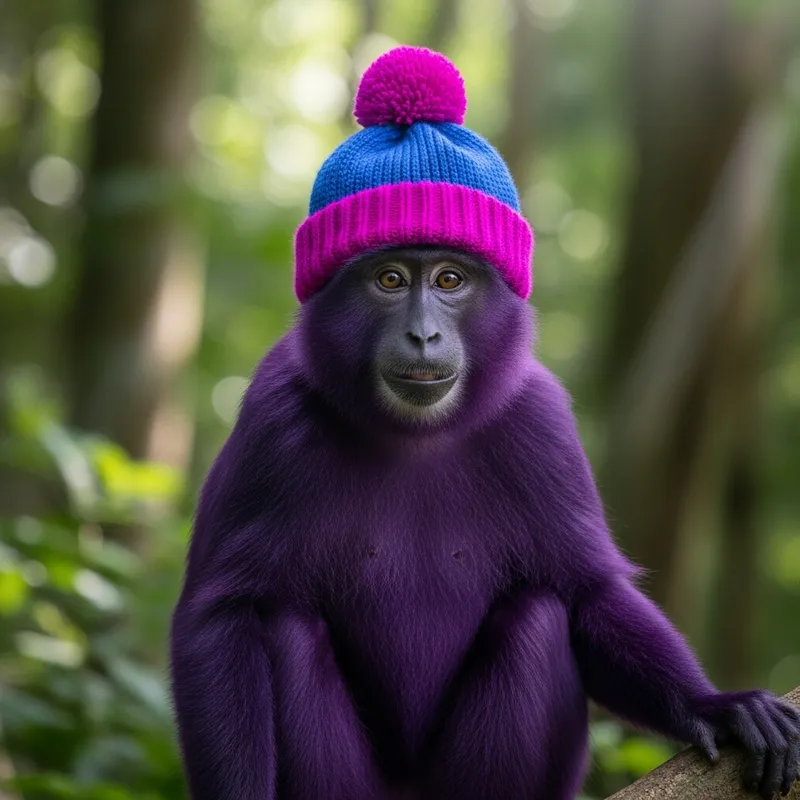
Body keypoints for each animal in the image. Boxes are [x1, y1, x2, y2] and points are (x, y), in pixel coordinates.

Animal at [170, 47, 800, 800]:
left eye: (449, 280)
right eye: (390, 280)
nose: (423, 334)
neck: (415, 438)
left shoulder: (542, 422)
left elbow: (590, 594)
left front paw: (715, 705)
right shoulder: (274, 415)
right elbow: (220, 619)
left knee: (536, 614)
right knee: (286, 625)